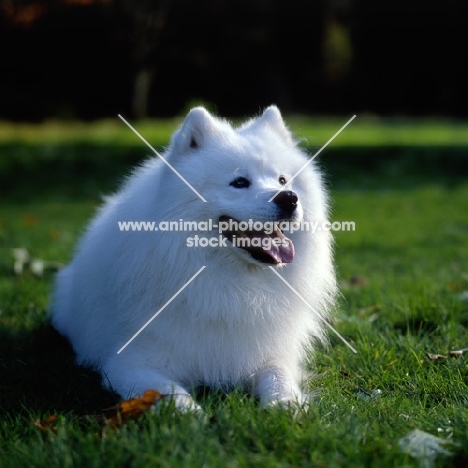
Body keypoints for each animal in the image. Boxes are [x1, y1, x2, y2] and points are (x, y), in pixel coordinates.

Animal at [50, 106, 336, 410]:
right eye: (239, 182)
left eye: (282, 180)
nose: (289, 198)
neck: (233, 287)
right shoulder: (129, 364)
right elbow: (171, 394)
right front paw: (194, 415)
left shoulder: (269, 353)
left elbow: (278, 375)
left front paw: (286, 405)